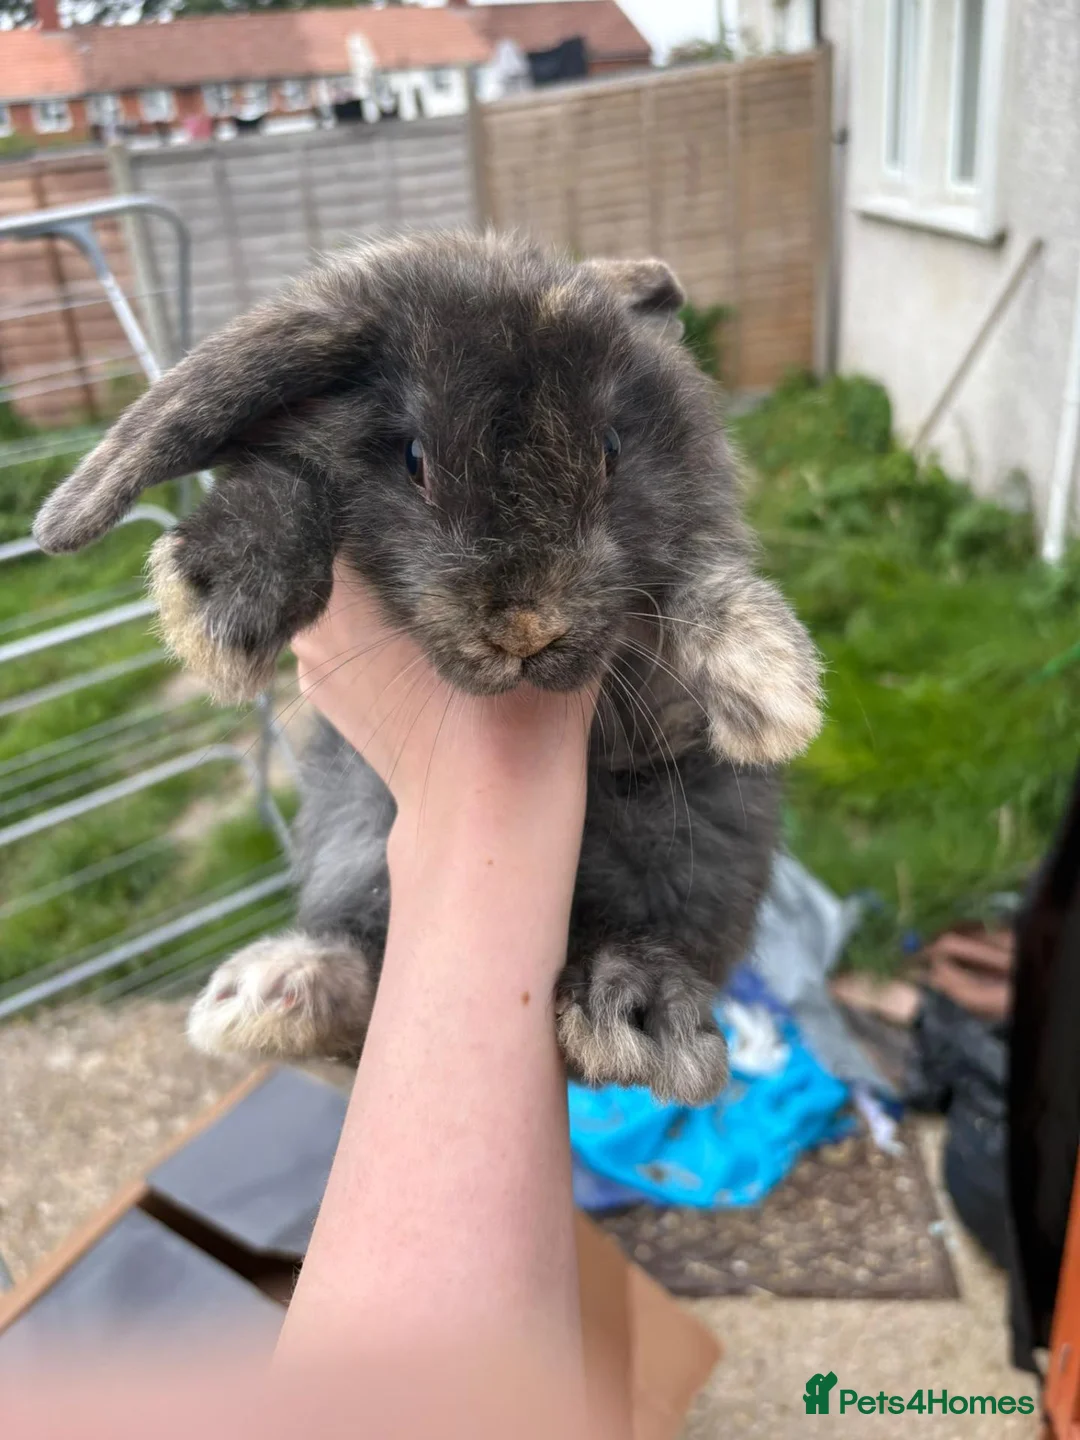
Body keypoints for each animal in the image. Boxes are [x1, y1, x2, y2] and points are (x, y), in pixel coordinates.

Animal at [33, 231, 822, 1104]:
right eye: (415, 459)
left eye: (611, 450)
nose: (525, 628)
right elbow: (294, 486)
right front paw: (218, 597)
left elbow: (695, 579)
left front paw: (770, 684)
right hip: (352, 829)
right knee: (367, 973)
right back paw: (271, 995)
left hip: (695, 838)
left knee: (645, 939)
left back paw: (635, 1012)